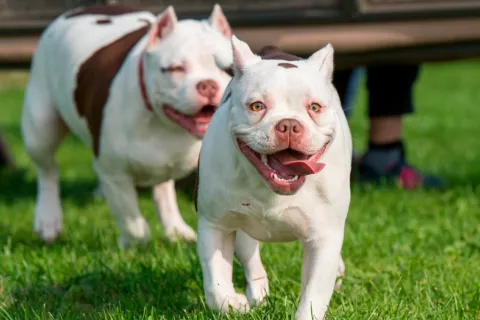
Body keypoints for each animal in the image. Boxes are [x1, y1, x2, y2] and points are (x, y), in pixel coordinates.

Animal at [19, 3, 233, 248]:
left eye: (227, 69)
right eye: (176, 69)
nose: (208, 85)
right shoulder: (113, 173)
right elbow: (132, 219)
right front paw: (133, 243)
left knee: (163, 189)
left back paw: (176, 229)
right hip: (40, 128)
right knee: (48, 171)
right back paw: (48, 220)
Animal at [195, 36, 352, 318]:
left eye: (314, 107)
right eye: (257, 106)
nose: (289, 124)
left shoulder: (323, 239)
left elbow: (312, 297)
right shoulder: (215, 225)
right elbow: (215, 287)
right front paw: (233, 302)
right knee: (250, 258)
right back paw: (257, 294)